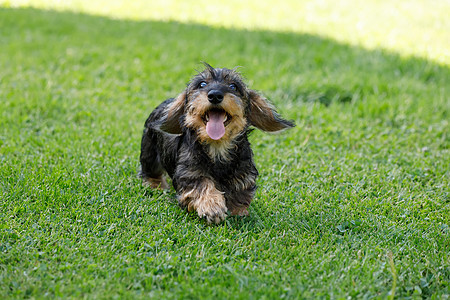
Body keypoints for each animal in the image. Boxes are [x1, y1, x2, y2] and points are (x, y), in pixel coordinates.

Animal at [141, 62, 296, 223]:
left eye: (233, 86)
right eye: (202, 84)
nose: (215, 95)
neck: (217, 146)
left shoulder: (244, 172)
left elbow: (240, 190)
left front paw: (238, 211)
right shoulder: (189, 174)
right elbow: (203, 185)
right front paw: (212, 206)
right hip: (149, 153)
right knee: (150, 171)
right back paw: (156, 185)